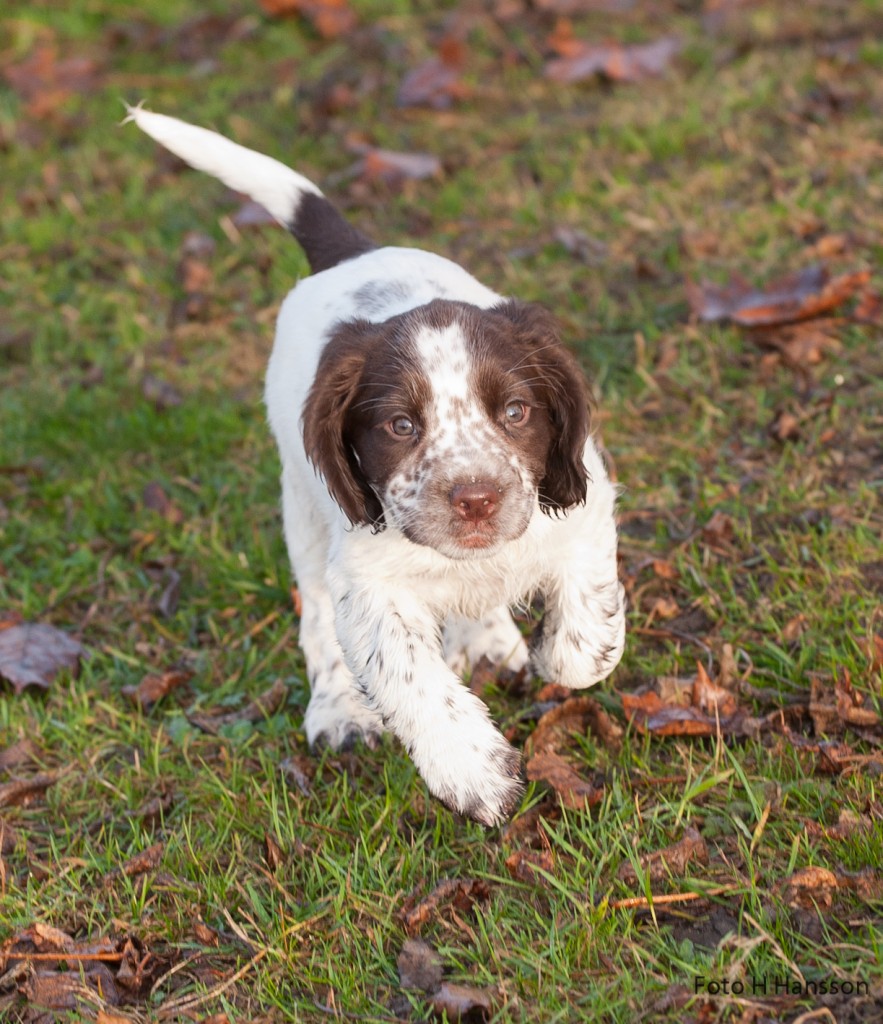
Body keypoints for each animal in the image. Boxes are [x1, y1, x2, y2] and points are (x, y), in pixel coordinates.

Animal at [129, 108, 631, 823]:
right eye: (400, 426)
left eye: (515, 412)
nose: (475, 499)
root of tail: (354, 252)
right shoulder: (369, 583)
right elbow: (409, 675)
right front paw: (473, 772)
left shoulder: (583, 506)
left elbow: (587, 641)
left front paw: (548, 653)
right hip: (305, 511)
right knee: (317, 618)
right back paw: (339, 709)